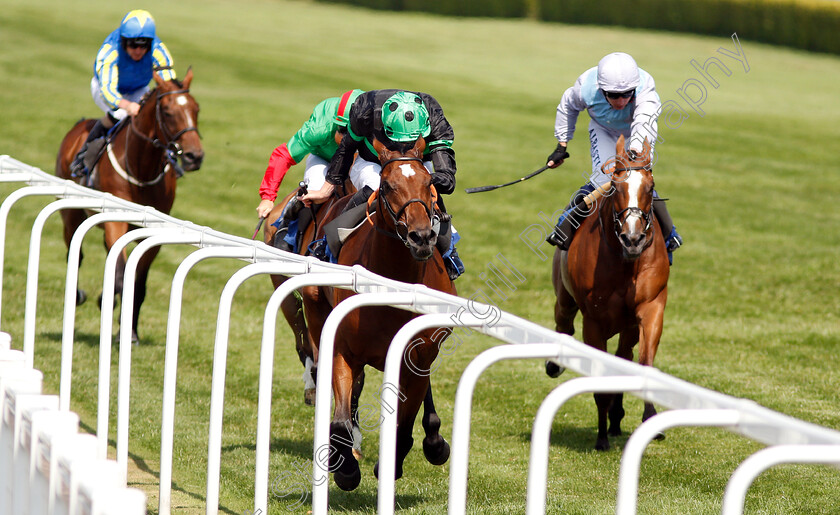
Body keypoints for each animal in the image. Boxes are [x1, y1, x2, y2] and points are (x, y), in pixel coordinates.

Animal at [55, 68, 203, 342]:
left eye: (196, 108)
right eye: (168, 111)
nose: (194, 156)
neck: (142, 169)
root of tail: (79, 125)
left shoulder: (152, 233)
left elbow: (138, 284)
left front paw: (130, 331)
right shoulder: (116, 222)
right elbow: (122, 276)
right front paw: (108, 303)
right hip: (71, 214)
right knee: (75, 253)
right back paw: (78, 295)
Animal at [302, 137, 456, 492]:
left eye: (429, 182)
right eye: (387, 186)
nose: (421, 237)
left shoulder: (417, 357)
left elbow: (404, 424)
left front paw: (393, 464)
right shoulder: (344, 350)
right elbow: (341, 420)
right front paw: (345, 469)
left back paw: (434, 441)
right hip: (317, 312)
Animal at [552, 136, 668, 452]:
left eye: (650, 187)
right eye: (616, 187)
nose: (633, 238)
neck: (624, 261)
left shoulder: (651, 308)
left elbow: (644, 363)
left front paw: (649, 418)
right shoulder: (594, 322)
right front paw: (601, 436)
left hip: (628, 326)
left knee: (624, 355)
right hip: (564, 299)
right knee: (563, 324)